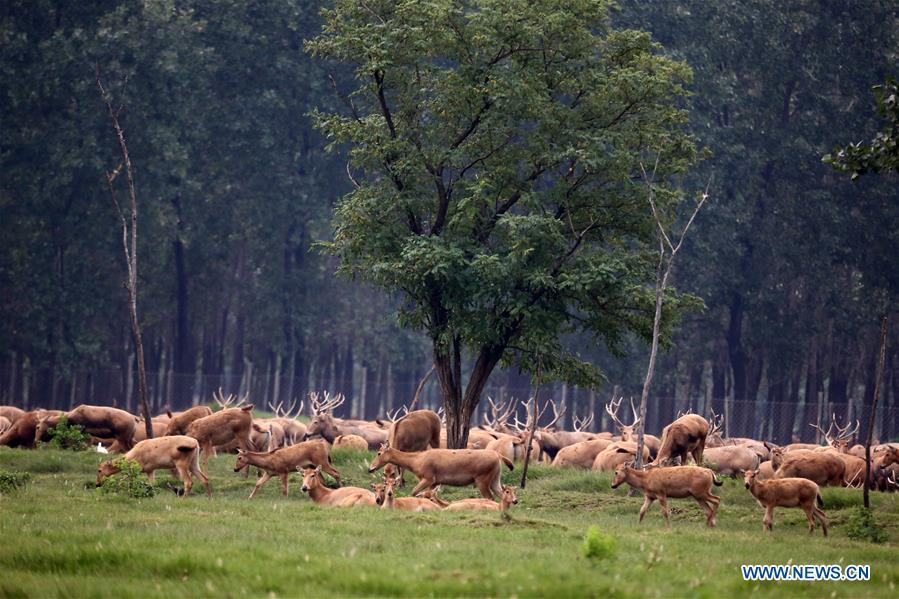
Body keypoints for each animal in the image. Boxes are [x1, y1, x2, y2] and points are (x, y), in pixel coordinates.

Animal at [370, 442, 516, 500]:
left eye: (379, 453)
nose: (370, 468)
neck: (416, 461)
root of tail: (498, 456)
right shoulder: (435, 482)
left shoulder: (429, 477)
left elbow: (414, 492)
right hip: (495, 478)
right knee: (501, 494)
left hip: (483, 479)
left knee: (490, 497)